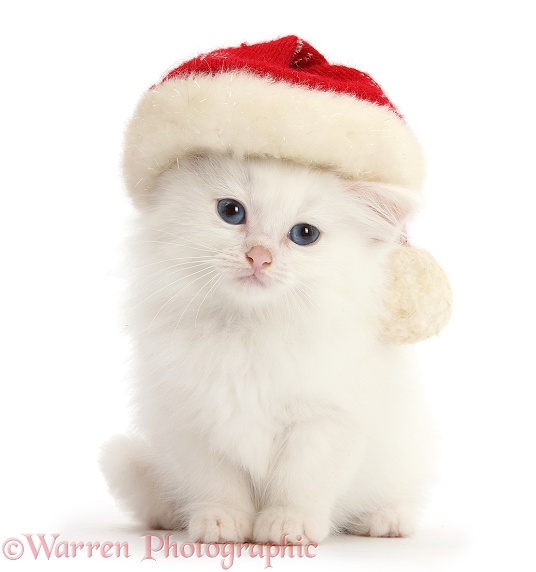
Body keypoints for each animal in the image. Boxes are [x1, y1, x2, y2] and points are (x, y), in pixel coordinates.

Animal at [99, 154, 436, 544]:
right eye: (231, 211)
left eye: (305, 234)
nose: (259, 257)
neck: (249, 330)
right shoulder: (191, 422)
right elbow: (218, 485)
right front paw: (220, 522)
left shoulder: (325, 422)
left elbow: (299, 483)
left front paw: (288, 525)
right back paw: (170, 516)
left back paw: (384, 519)